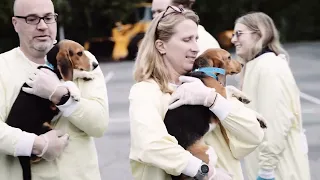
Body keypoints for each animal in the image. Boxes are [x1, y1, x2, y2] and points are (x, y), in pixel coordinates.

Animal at [4, 39, 97, 180]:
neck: (53, 68)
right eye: (79, 53)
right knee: (35, 156)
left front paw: (86, 75)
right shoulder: (53, 101)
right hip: (44, 129)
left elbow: (72, 76)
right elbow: (66, 82)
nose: (96, 65)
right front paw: (75, 91)